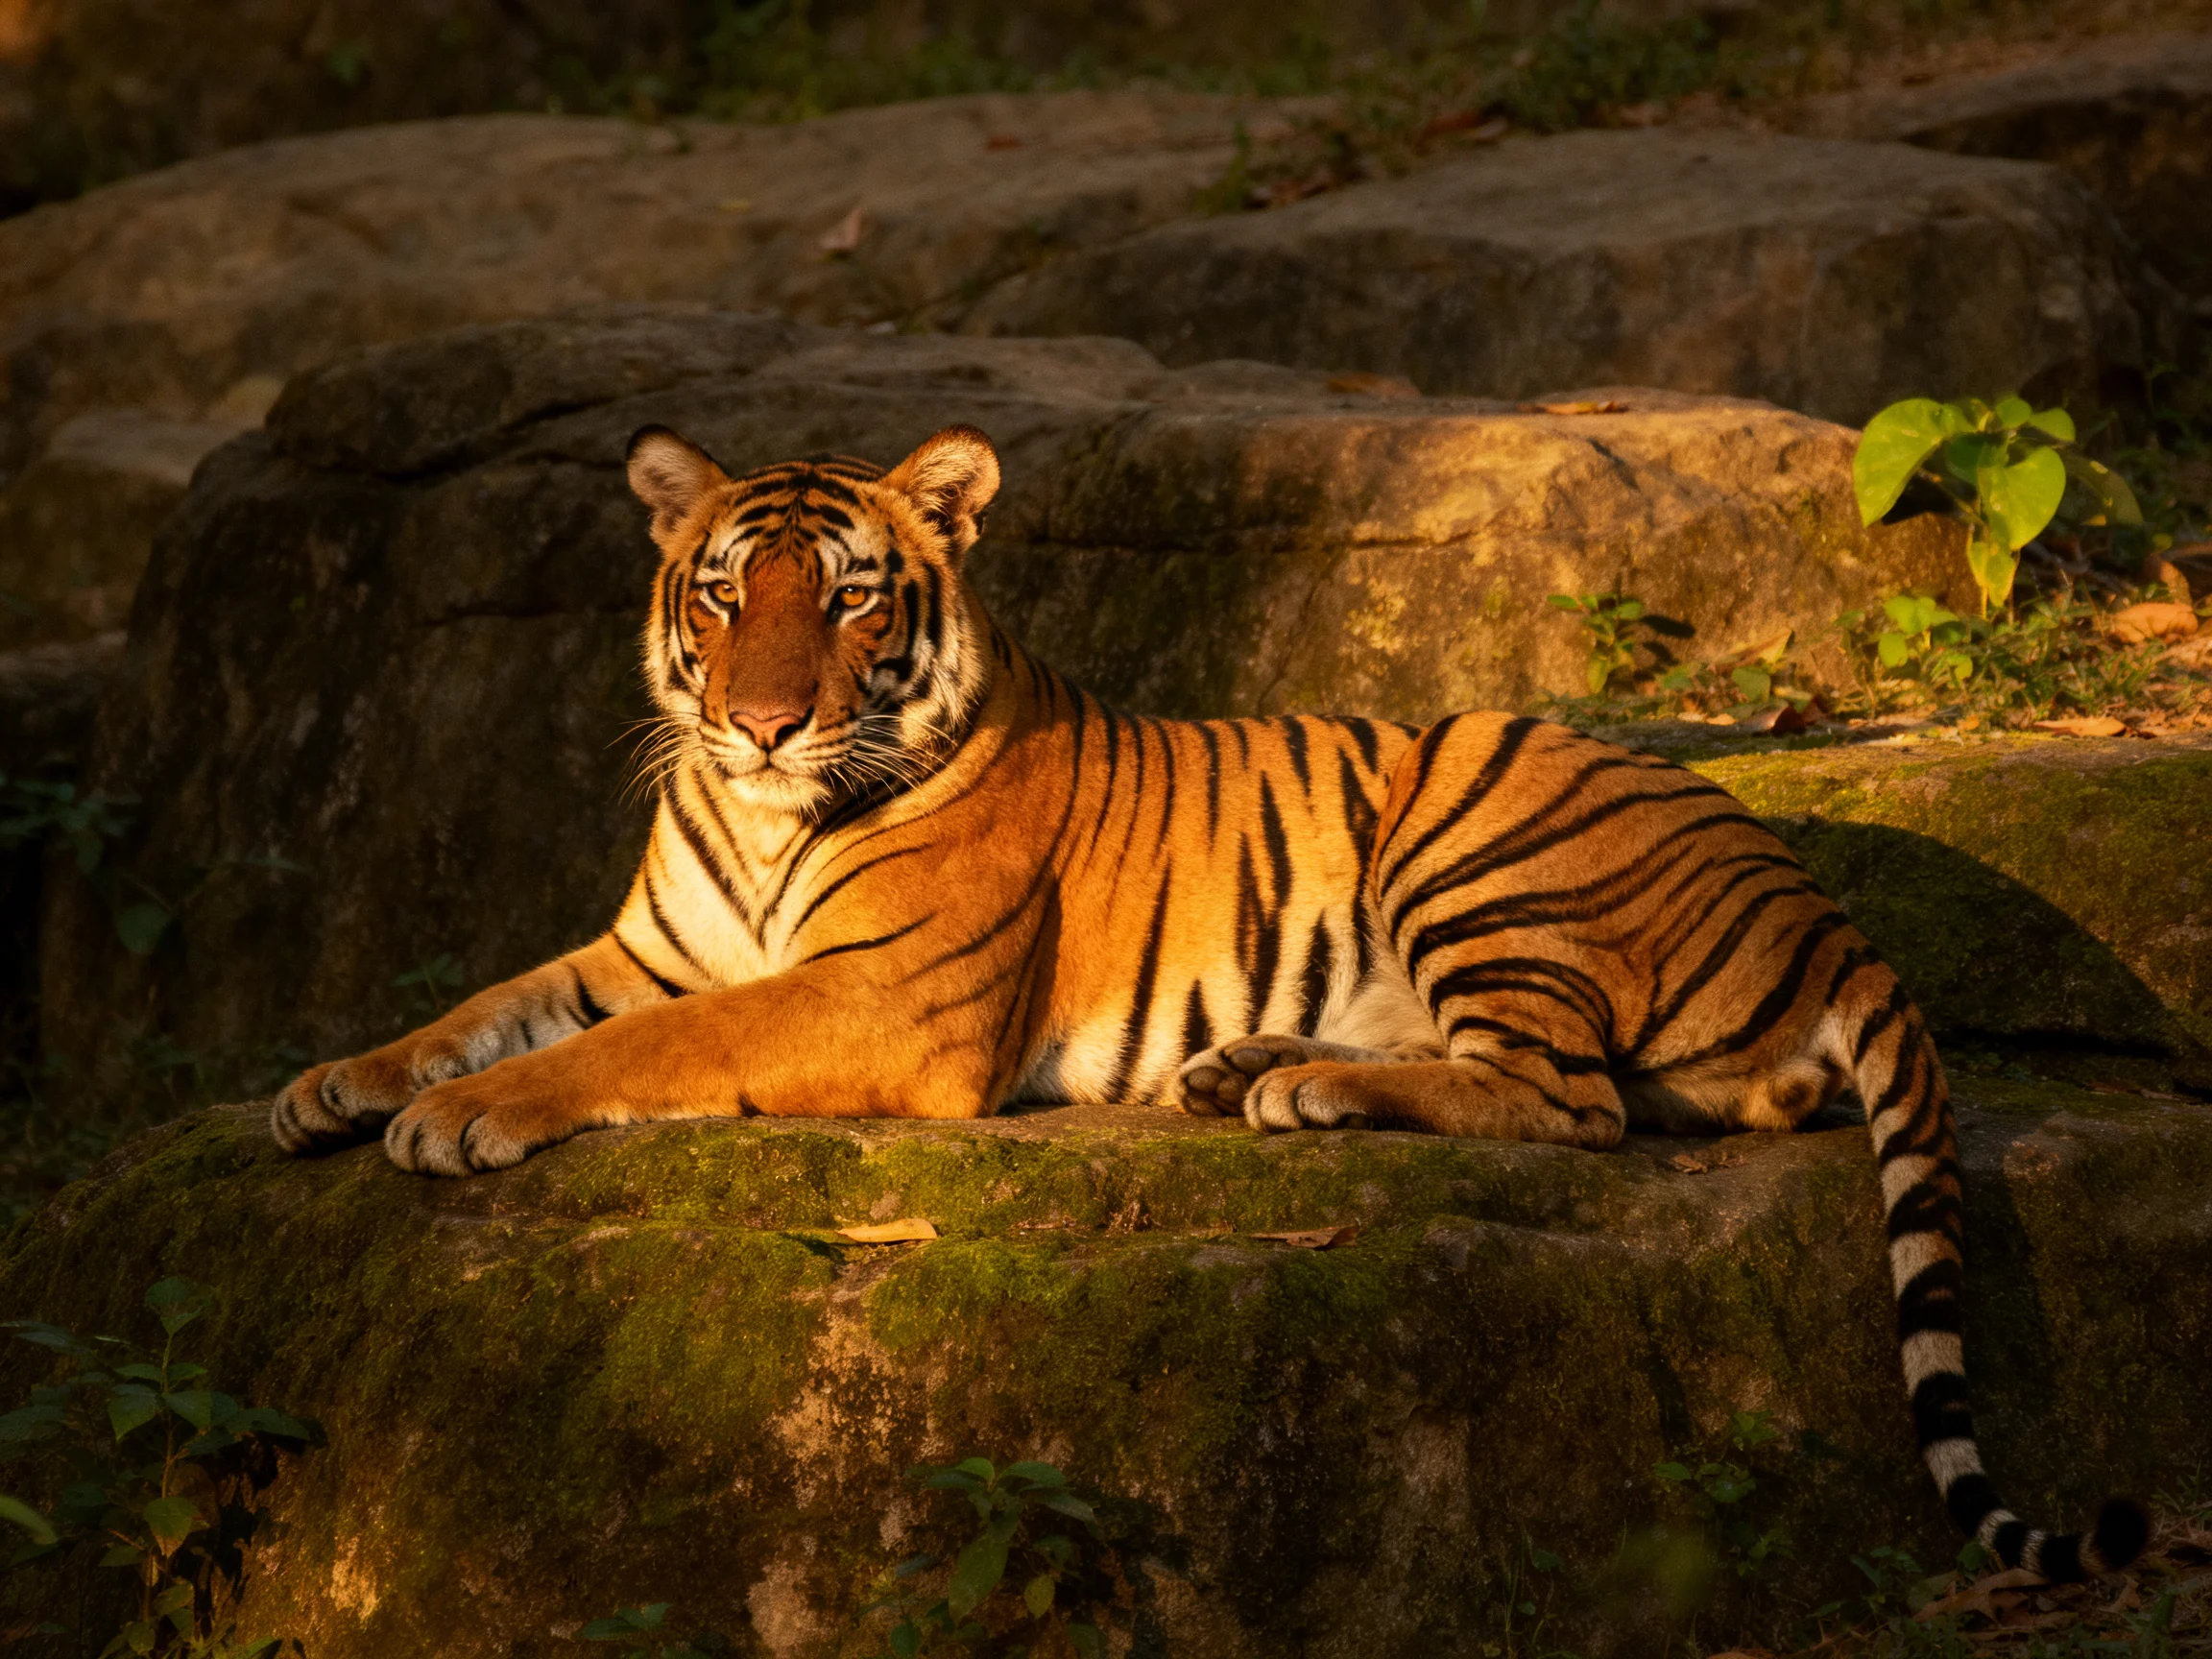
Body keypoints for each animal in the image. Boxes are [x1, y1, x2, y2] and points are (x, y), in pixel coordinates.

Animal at [271, 421, 2146, 1584]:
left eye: (853, 594)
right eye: (726, 591)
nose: (761, 721)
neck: (751, 816)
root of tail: (1816, 895)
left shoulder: (883, 1004)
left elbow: (633, 1048)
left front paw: (454, 1120)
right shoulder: (652, 946)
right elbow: (493, 998)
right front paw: (331, 1085)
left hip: (1478, 826)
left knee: (1573, 1099)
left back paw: (1293, 1090)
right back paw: (1244, 1062)